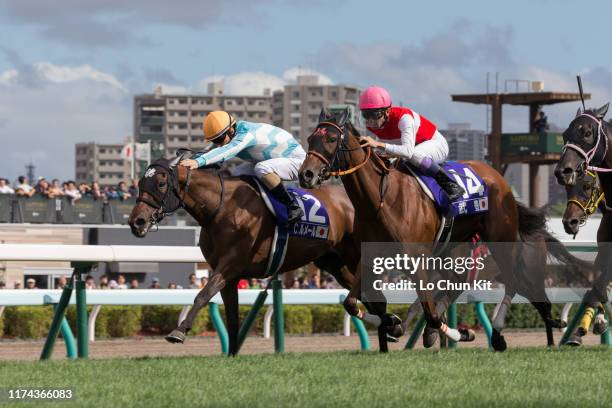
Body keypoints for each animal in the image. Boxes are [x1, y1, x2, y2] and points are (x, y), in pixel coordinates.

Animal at [128, 155, 396, 356]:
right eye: (140, 183)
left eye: (161, 184)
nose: (136, 221)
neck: (220, 208)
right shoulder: (229, 277)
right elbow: (232, 317)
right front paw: (231, 354)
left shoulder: (230, 265)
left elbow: (203, 295)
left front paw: (179, 331)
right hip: (335, 263)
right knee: (372, 298)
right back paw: (389, 333)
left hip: (356, 256)